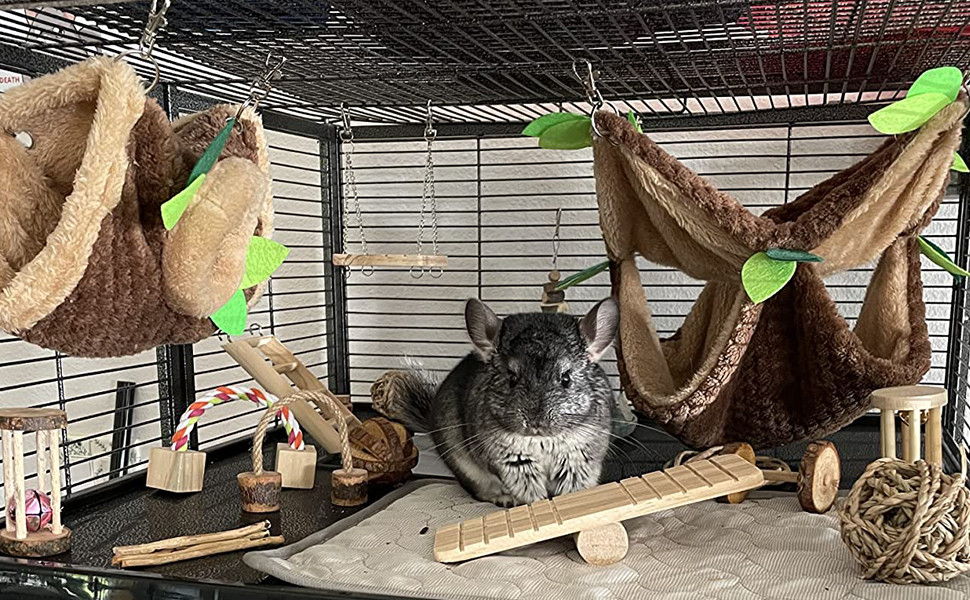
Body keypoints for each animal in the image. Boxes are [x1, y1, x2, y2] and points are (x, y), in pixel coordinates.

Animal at [390, 297, 619, 507]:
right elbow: (530, 491)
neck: (542, 440)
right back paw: (505, 499)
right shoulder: (512, 462)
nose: (536, 423)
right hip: (465, 467)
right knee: (481, 492)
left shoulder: (579, 459)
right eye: (512, 378)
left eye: (566, 378)